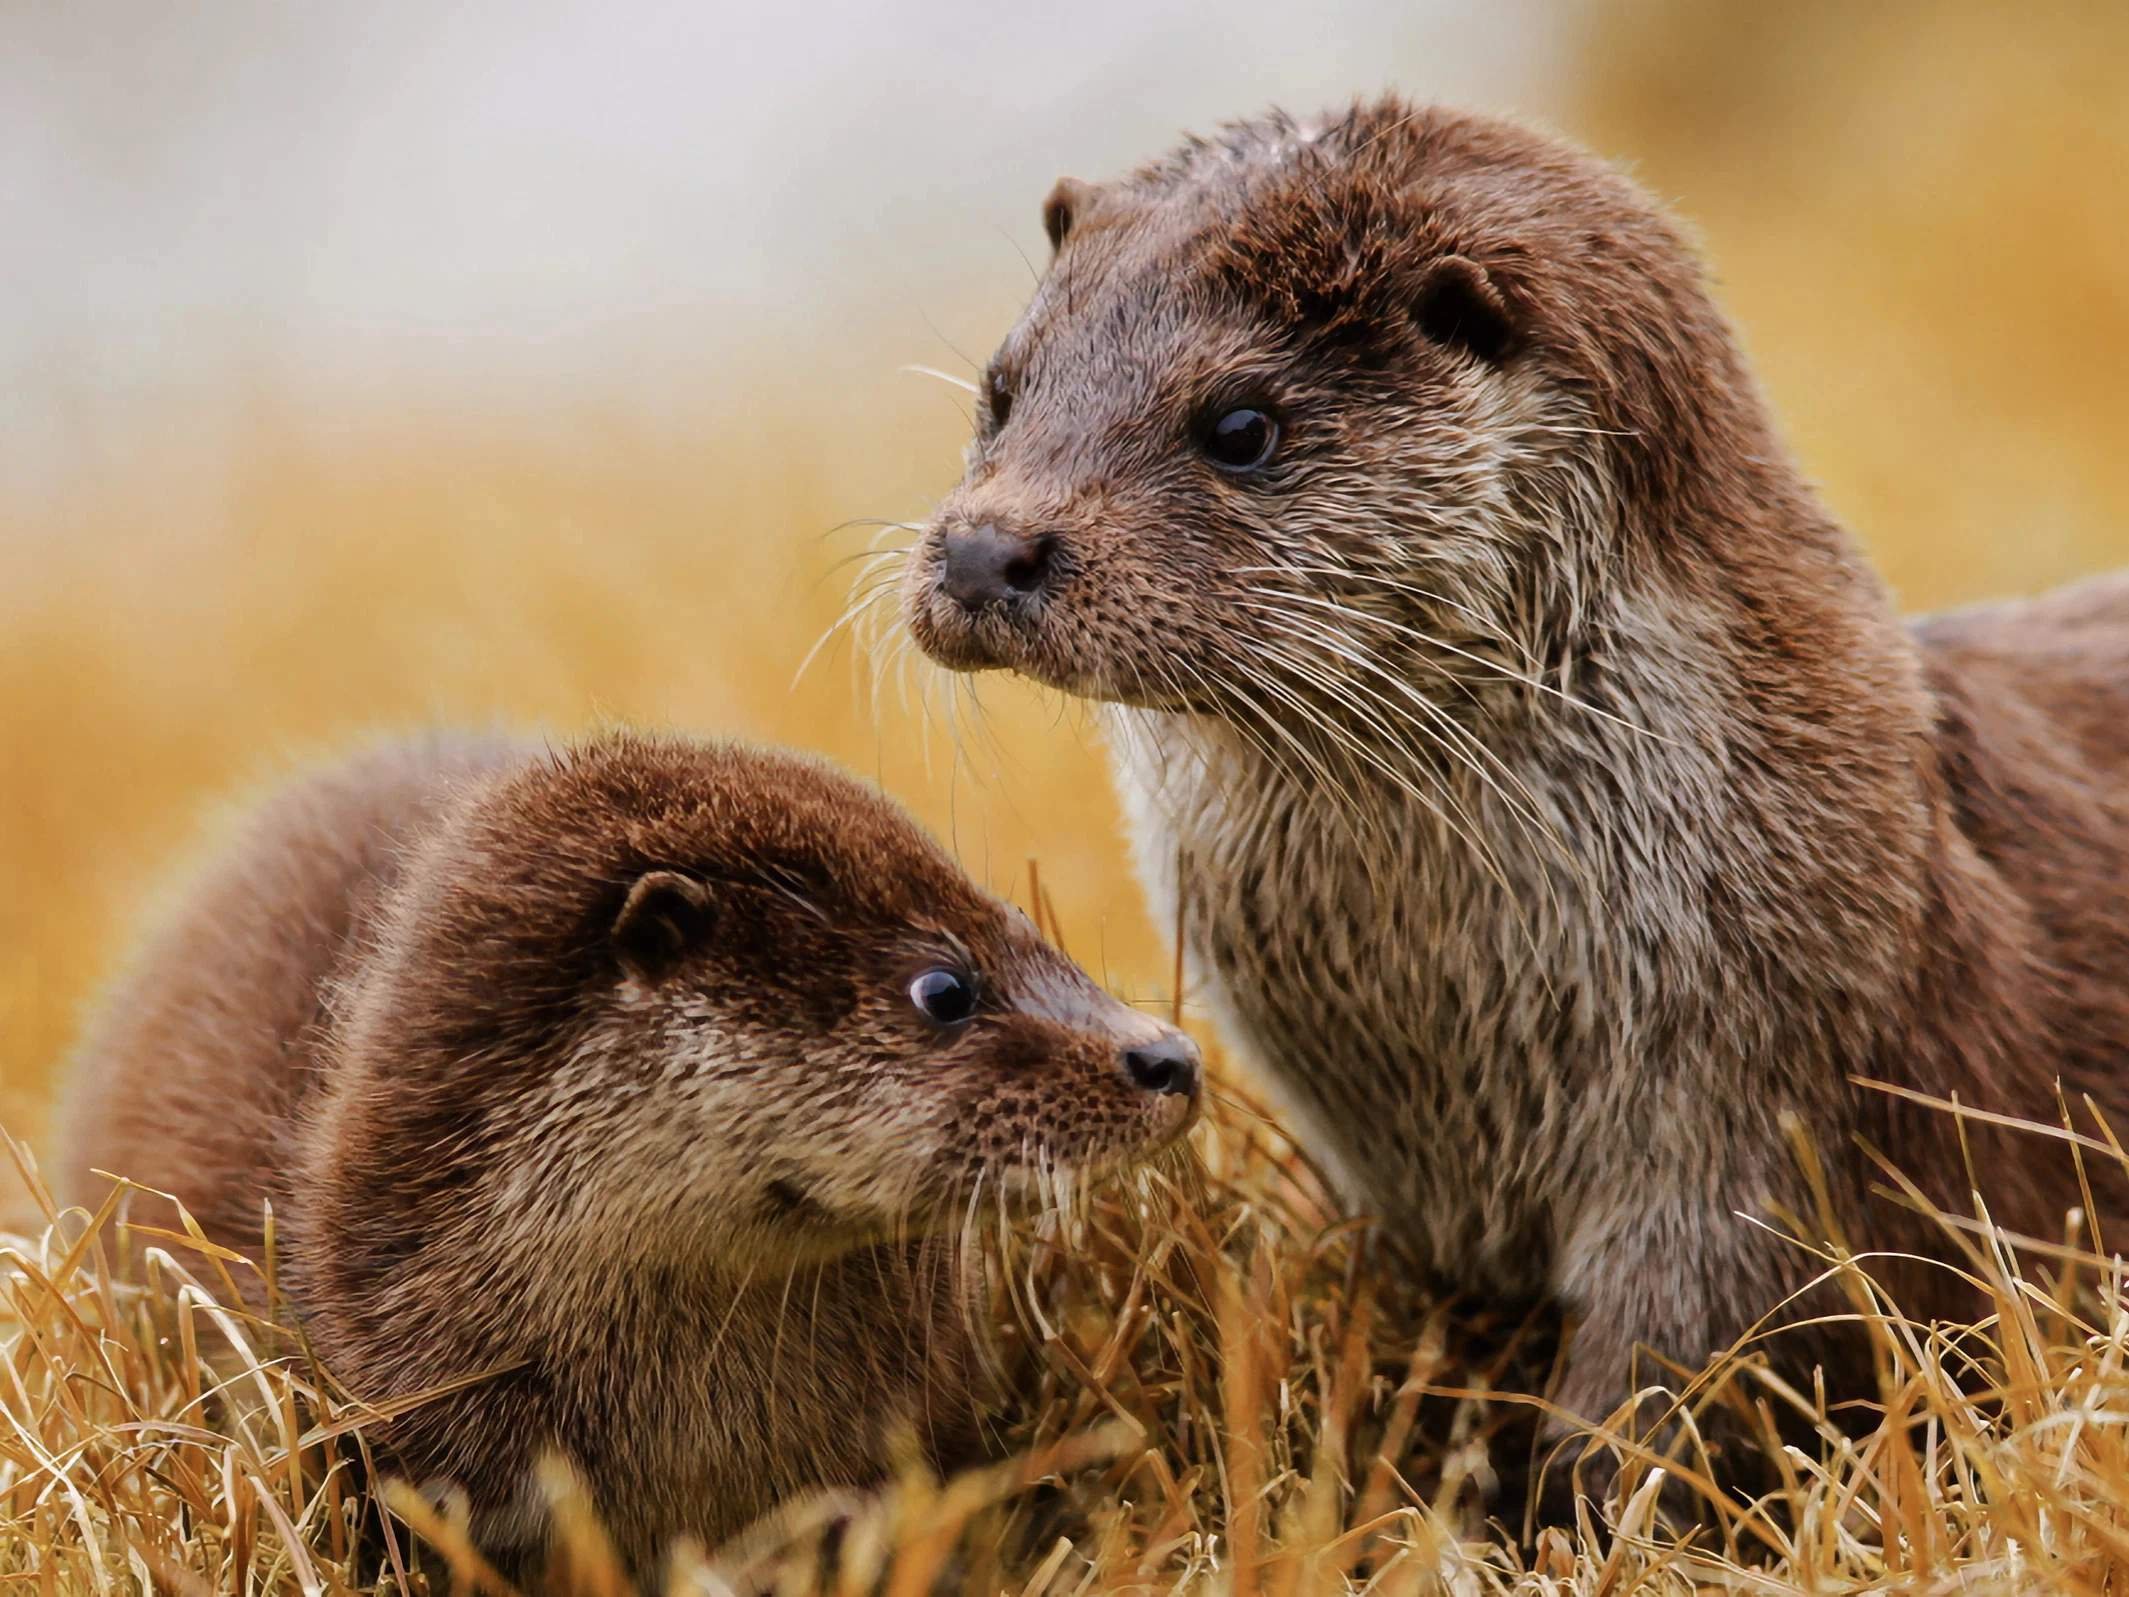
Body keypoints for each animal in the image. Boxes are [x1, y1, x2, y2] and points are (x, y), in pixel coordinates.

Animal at [898, 100, 2129, 1499]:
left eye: (1240, 426)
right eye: (1001, 392)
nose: (984, 547)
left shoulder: (1761, 1132)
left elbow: (1674, 1386)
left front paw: (1564, 1510)